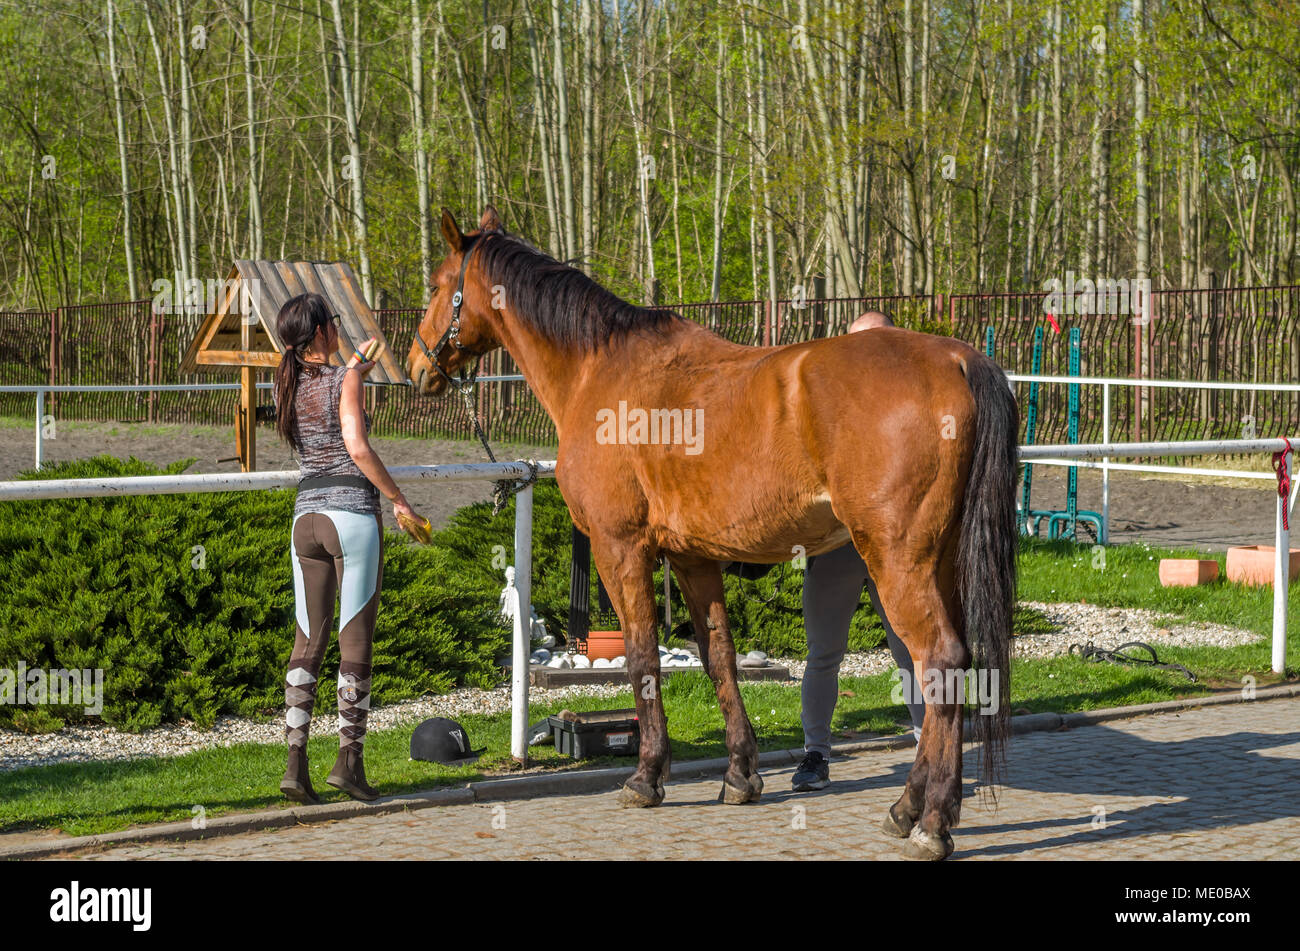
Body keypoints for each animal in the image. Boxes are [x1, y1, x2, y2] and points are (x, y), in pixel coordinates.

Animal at [405, 207, 1013, 862]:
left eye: (436, 285)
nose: (415, 367)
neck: (600, 368)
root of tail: (955, 359)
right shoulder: (694, 559)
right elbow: (718, 657)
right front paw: (741, 773)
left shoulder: (620, 549)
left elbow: (642, 655)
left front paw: (647, 776)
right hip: (940, 562)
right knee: (951, 669)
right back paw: (909, 809)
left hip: (899, 561)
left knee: (940, 661)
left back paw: (931, 821)